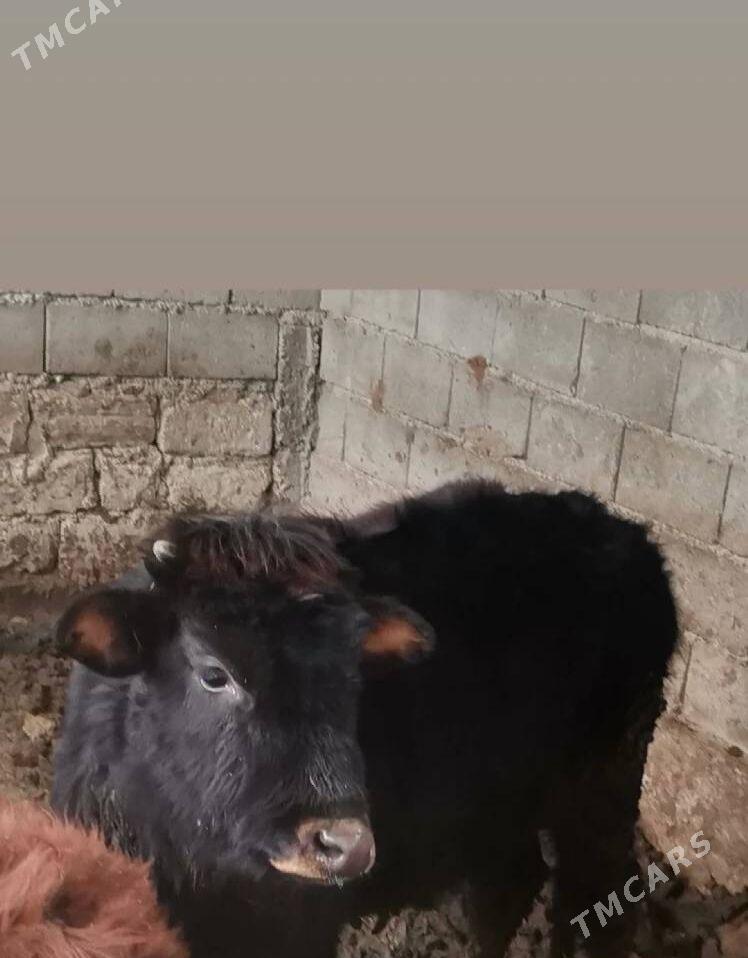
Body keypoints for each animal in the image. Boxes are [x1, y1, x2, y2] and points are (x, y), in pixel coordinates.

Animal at [51, 480, 678, 958]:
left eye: (354, 670)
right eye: (214, 672)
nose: (344, 844)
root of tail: (621, 534)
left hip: (603, 787)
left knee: (598, 898)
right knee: (511, 886)